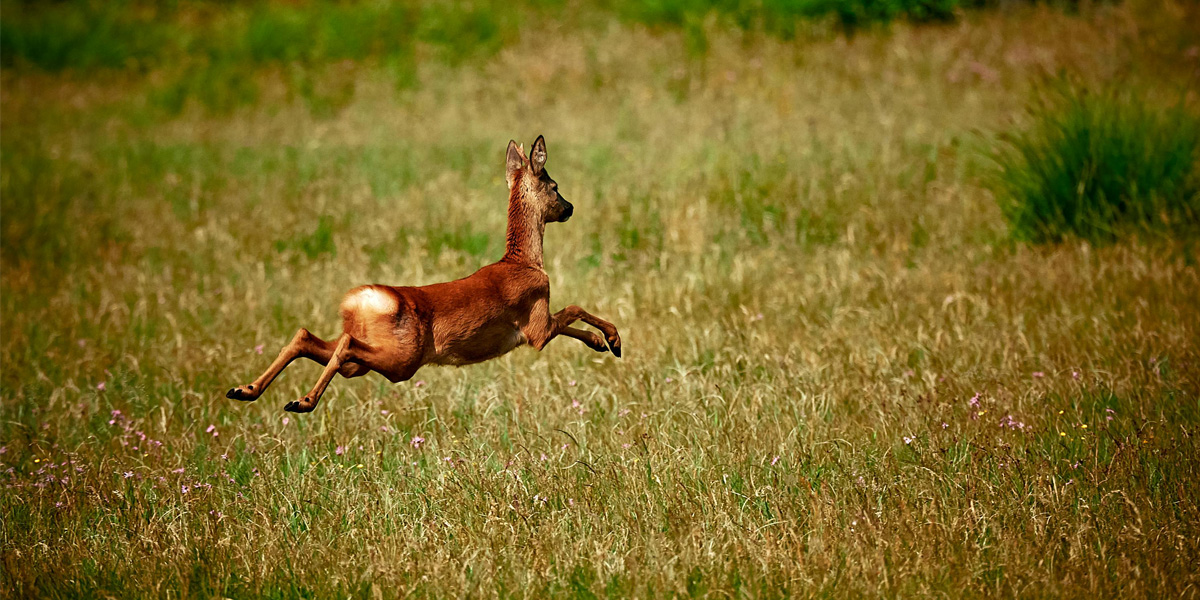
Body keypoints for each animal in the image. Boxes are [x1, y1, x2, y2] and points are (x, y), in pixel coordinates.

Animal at [226, 135, 622, 413]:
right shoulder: (536, 324)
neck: (523, 262)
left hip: (370, 360)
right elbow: (574, 308)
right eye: (555, 186)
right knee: (343, 344)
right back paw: (302, 402)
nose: (570, 208)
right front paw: (613, 340)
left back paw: (245, 390)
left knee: (307, 336)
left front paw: (601, 343)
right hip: (402, 358)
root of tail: (359, 301)